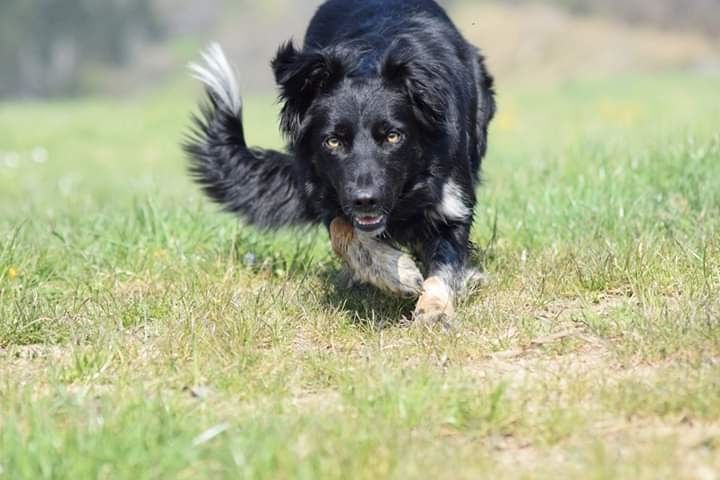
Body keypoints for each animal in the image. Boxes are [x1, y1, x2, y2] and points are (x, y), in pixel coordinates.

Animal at [184, 0, 496, 322]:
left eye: (393, 136)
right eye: (333, 141)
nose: (365, 200)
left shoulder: (453, 202)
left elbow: (444, 264)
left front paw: (434, 309)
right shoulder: (325, 192)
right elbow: (342, 231)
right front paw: (396, 272)